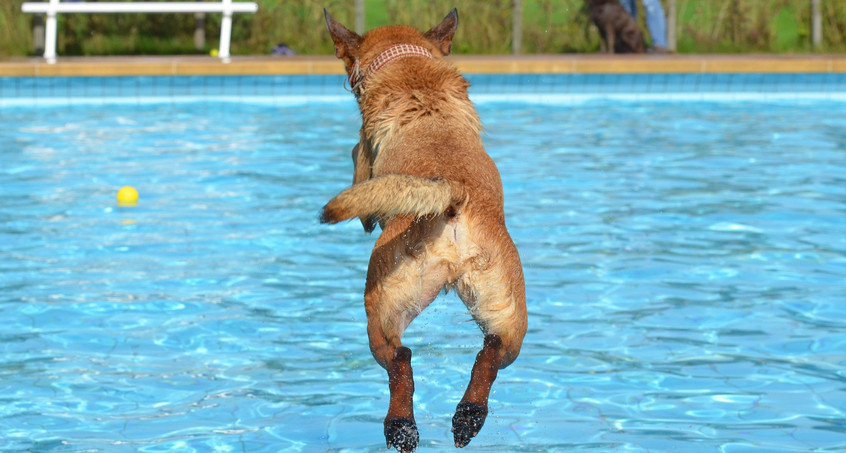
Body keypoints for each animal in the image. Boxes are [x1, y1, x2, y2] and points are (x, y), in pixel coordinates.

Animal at [320, 7, 528, 452]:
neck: (409, 65)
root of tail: (452, 192)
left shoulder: (362, 158)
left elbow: (357, 163)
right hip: (506, 312)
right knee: (491, 352)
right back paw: (468, 417)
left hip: (381, 308)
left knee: (400, 360)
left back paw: (401, 427)